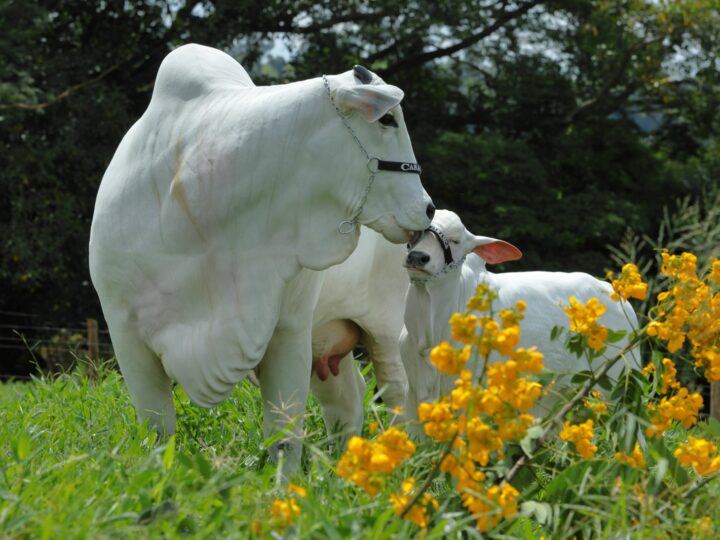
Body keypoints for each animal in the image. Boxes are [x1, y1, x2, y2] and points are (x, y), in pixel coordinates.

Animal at [400, 209, 640, 424]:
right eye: (415, 235)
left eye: (455, 240)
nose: (417, 257)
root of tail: (614, 292)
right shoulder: (412, 396)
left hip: (620, 388)